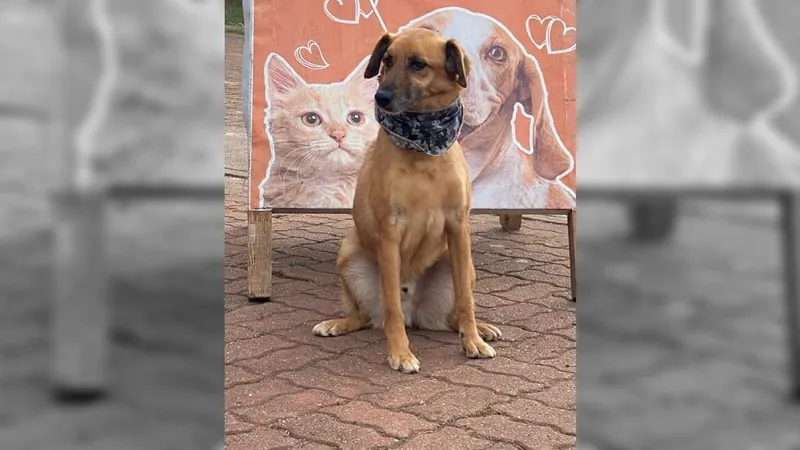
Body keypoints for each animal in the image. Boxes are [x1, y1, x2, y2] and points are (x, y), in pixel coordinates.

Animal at [312, 28, 500, 372]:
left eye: (418, 64)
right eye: (387, 60)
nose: (380, 97)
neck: (422, 149)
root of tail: (417, 311)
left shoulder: (458, 228)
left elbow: (466, 302)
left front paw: (473, 341)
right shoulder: (390, 233)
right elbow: (391, 308)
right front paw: (400, 353)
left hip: (463, 265)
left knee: (454, 315)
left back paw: (480, 329)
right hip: (349, 254)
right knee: (367, 315)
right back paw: (337, 324)